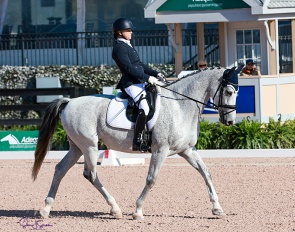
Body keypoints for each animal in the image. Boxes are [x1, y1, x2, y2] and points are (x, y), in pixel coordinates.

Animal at [32, 66, 240, 219]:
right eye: (229, 91)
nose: (230, 121)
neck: (180, 105)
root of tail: (69, 102)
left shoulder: (186, 150)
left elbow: (206, 172)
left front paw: (217, 208)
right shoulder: (160, 149)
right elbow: (151, 178)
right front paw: (138, 211)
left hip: (77, 147)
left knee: (60, 169)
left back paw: (46, 209)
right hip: (88, 145)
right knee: (90, 174)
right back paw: (115, 208)